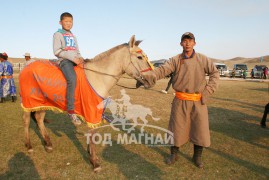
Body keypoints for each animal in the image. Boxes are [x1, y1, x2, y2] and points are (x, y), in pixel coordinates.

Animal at [21, 35, 156, 172]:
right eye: (139, 57)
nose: (153, 79)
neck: (98, 78)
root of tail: (26, 67)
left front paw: (90, 154)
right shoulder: (92, 112)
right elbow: (93, 135)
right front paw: (95, 163)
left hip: (42, 102)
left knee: (39, 119)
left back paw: (48, 144)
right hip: (29, 102)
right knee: (26, 120)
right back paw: (29, 146)